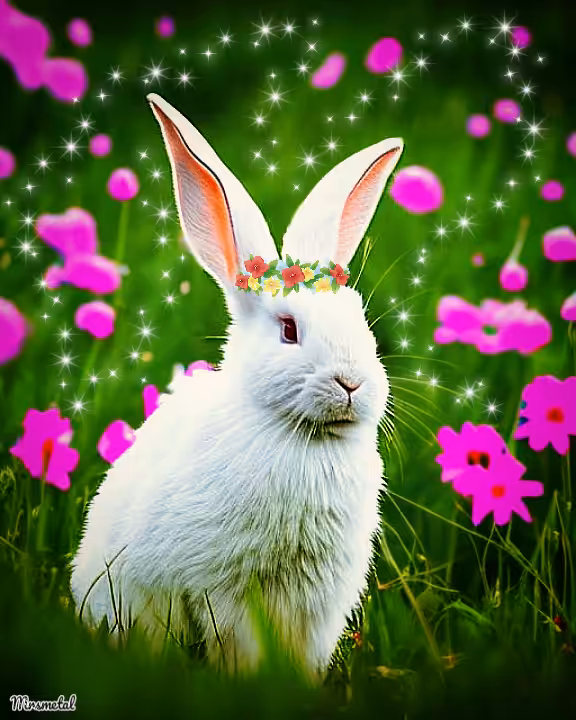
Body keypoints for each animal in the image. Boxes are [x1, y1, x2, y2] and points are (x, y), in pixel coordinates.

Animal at [70, 92, 404, 674]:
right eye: (289, 330)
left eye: (361, 322)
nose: (352, 384)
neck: (300, 435)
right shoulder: (225, 590)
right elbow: (239, 646)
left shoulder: (319, 604)